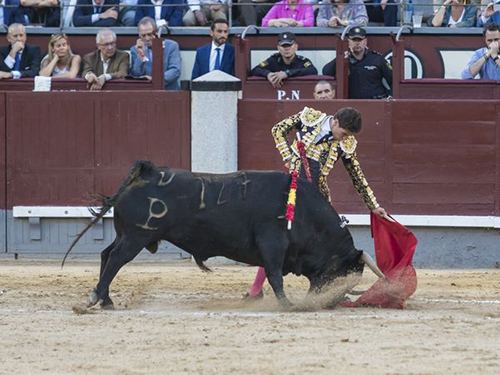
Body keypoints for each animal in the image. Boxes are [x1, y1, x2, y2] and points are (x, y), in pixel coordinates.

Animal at [63, 160, 372, 310]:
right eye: (343, 273)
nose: (331, 303)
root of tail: (147, 172)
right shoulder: (273, 243)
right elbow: (275, 275)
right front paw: (287, 305)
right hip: (135, 237)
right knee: (115, 259)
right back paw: (98, 298)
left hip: (126, 234)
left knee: (106, 254)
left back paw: (105, 300)